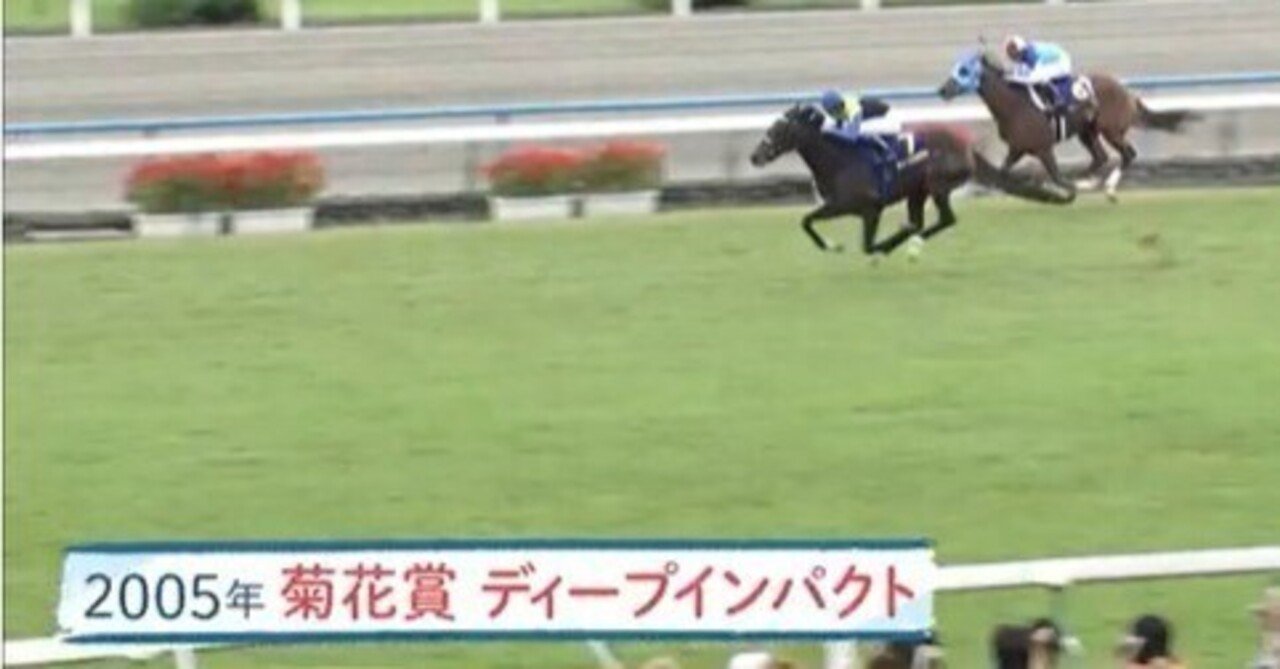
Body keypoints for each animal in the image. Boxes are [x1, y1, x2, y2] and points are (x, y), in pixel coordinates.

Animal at [748, 104, 979, 258]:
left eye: (779, 129)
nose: (754, 156)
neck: (838, 161)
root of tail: (966, 144)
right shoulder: (838, 205)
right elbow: (806, 221)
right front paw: (831, 246)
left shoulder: (871, 209)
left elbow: (868, 246)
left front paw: (879, 250)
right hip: (917, 191)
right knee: (921, 222)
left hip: (938, 186)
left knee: (945, 220)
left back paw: (912, 245)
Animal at [937, 49, 1197, 202]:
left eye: (964, 70)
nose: (943, 90)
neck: (1015, 105)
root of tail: (1127, 92)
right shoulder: (1017, 148)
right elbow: (1002, 172)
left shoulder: (1043, 148)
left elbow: (1056, 177)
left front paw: (1061, 189)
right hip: (1087, 131)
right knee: (1101, 157)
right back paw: (1089, 182)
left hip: (1110, 130)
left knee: (1127, 154)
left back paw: (1106, 188)